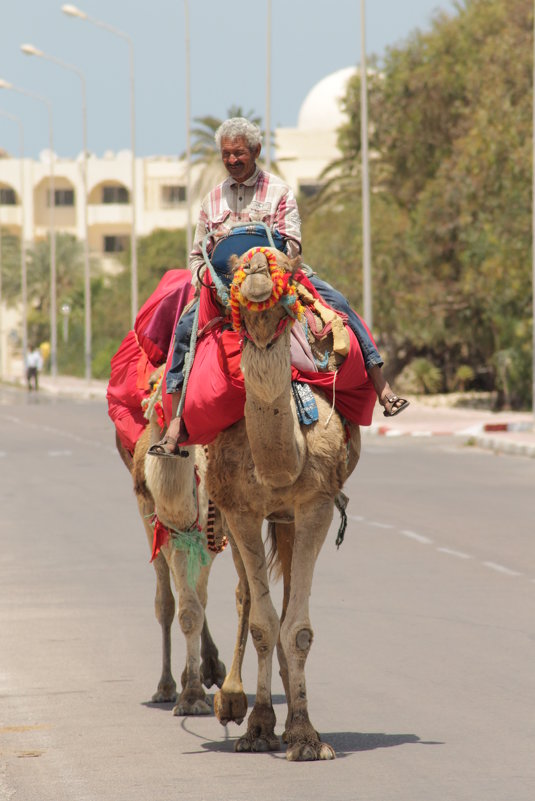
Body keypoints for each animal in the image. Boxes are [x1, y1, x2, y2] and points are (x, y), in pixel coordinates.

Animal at [116, 372, 227, 716]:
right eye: (154, 388)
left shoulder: (207, 537)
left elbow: (198, 603)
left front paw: (196, 688)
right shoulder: (169, 534)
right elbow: (187, 610)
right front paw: (189, 693)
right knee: (167, 601)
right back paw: (169, 685)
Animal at [205, 247, 364, 760]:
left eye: (288, 271)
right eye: (235, 269)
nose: (258, 264)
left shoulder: (316, 504)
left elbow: (297, 628)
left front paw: (305, 735)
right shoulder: (240, 510)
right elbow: (263, 622)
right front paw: (258, 728)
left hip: (289, 519)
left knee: (287, 595)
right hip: (227, 513)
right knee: (246, 594)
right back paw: (234, 702)